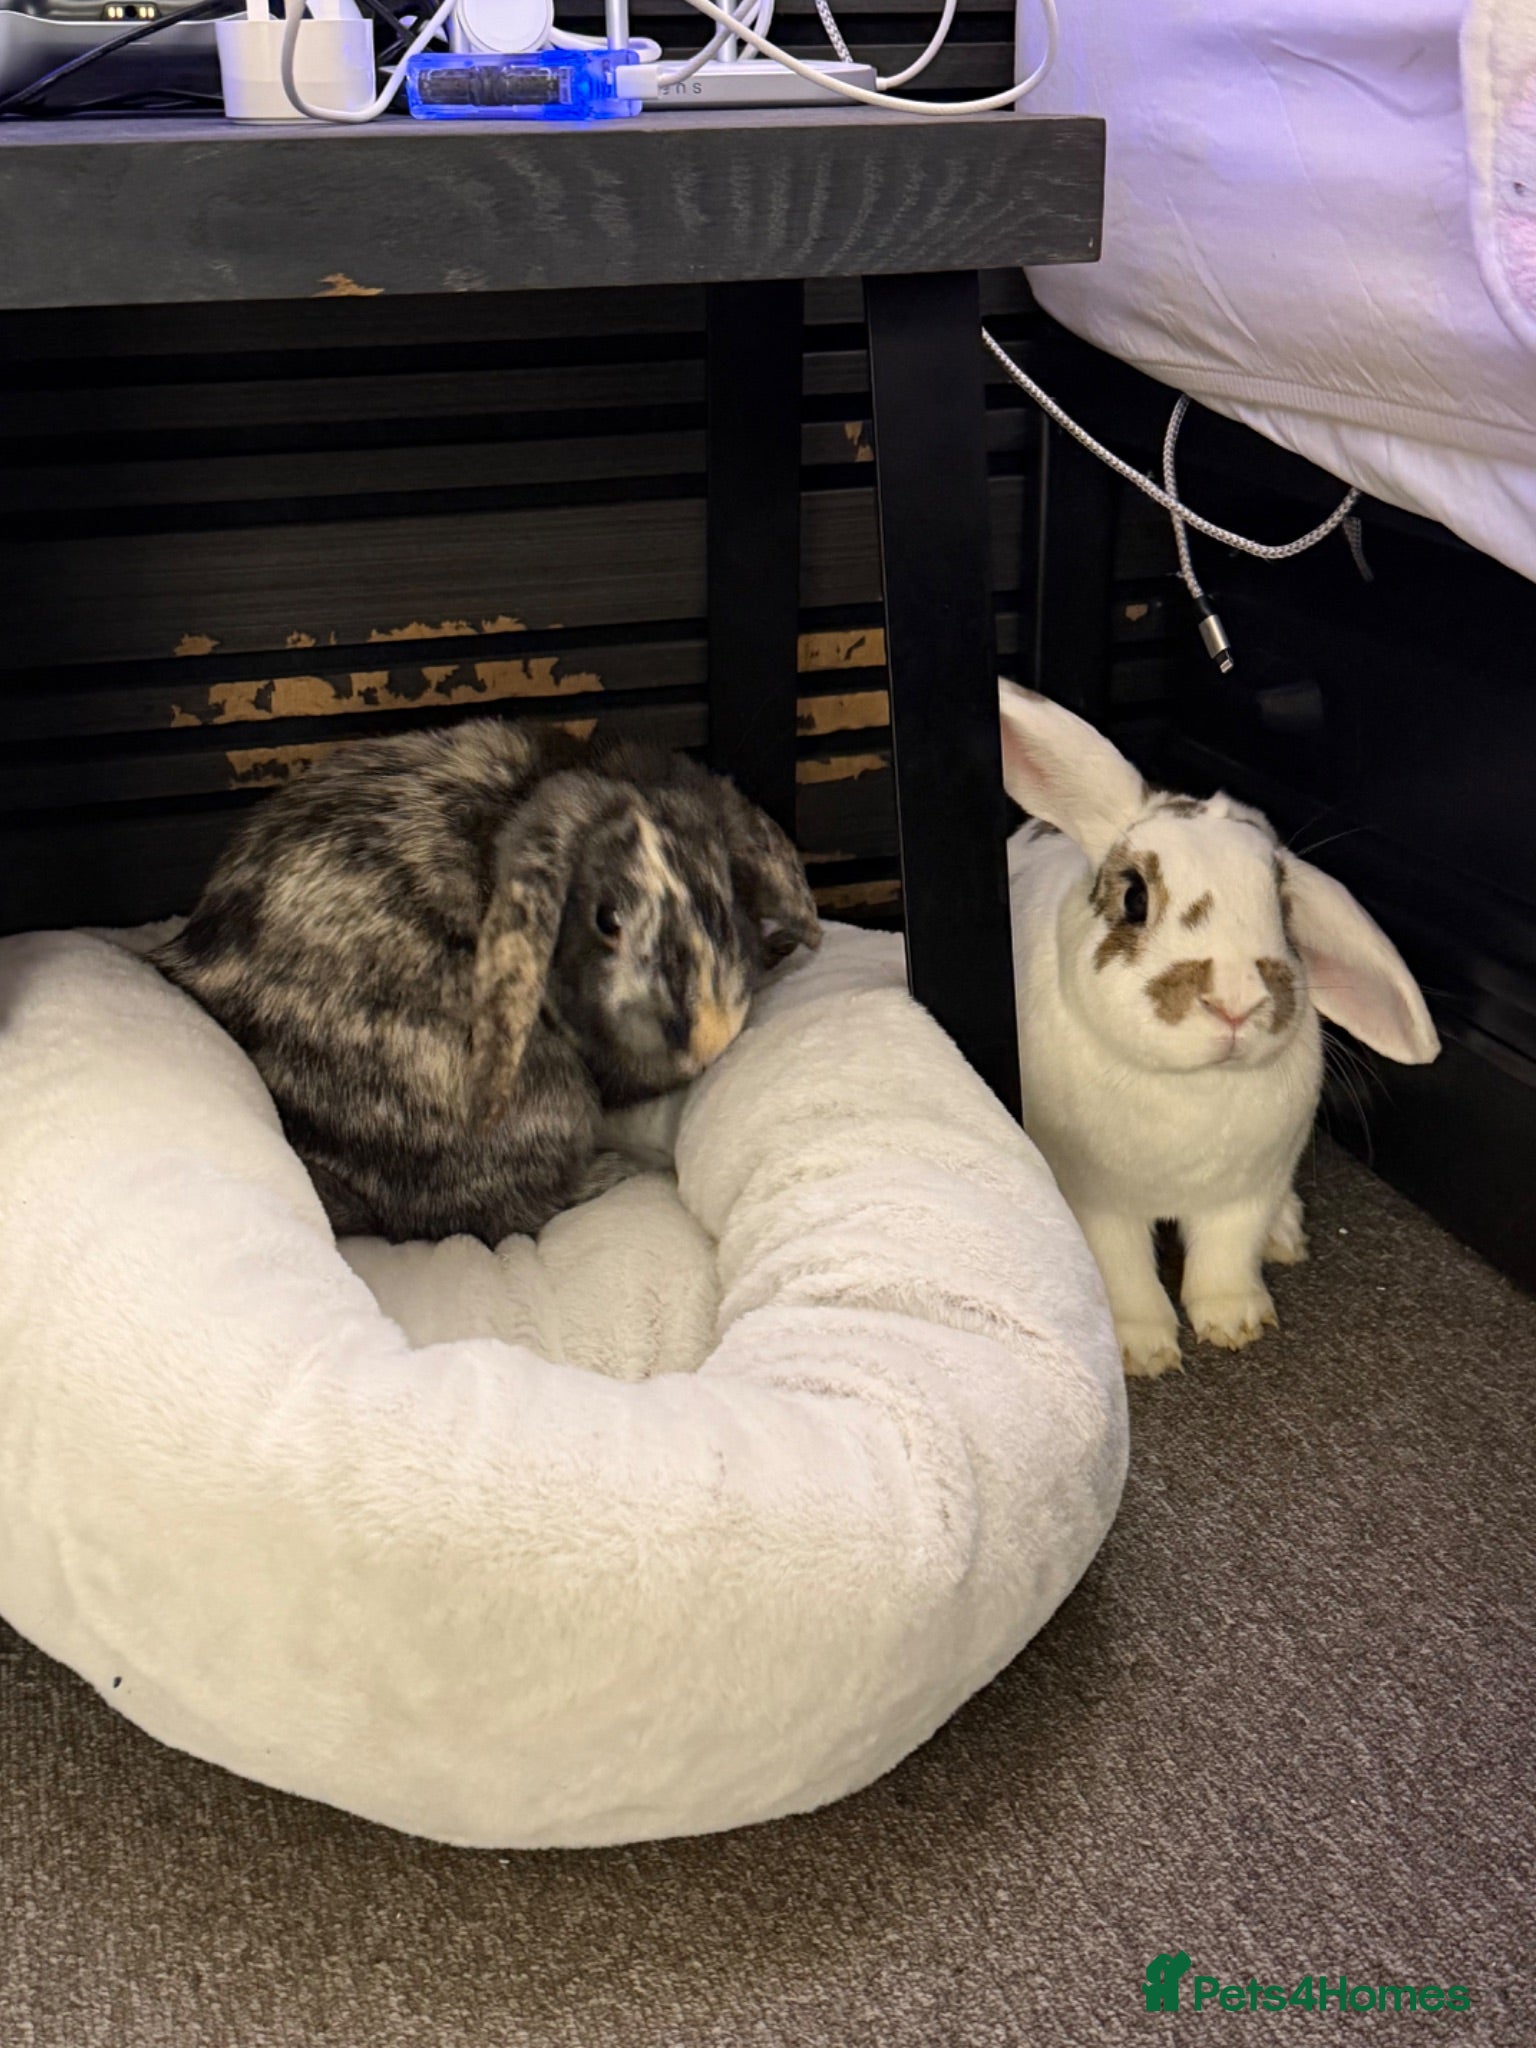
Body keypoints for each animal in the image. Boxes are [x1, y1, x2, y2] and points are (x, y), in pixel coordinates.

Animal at [998, 680, 1439, 1378]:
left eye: (1283, 911)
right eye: (1134, 898)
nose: (1236, 1001)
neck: (1193, 1084)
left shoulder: (1248, 1191)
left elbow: (1226, 1258)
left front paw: (1236, 1325)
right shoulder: (1095, 1202)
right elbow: (1122, 1271)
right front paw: (1144, 1352)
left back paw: (1286, 1237)